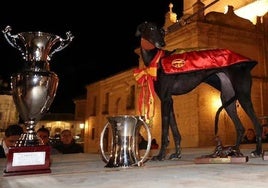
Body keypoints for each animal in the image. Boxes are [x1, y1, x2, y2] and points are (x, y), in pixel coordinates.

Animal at [134, 21, 262, 160]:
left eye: (162, 31)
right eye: (151, 28)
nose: (162, 43)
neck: (156, 60)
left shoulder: (165, 100)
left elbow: (165, 131)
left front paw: (160, 155)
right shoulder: (169, 100)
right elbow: (175, 130)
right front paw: (177, 153)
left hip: (243, 95)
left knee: (257, 124)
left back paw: (257, 151)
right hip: (228, 99)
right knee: (240, 128)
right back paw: (234, 151)